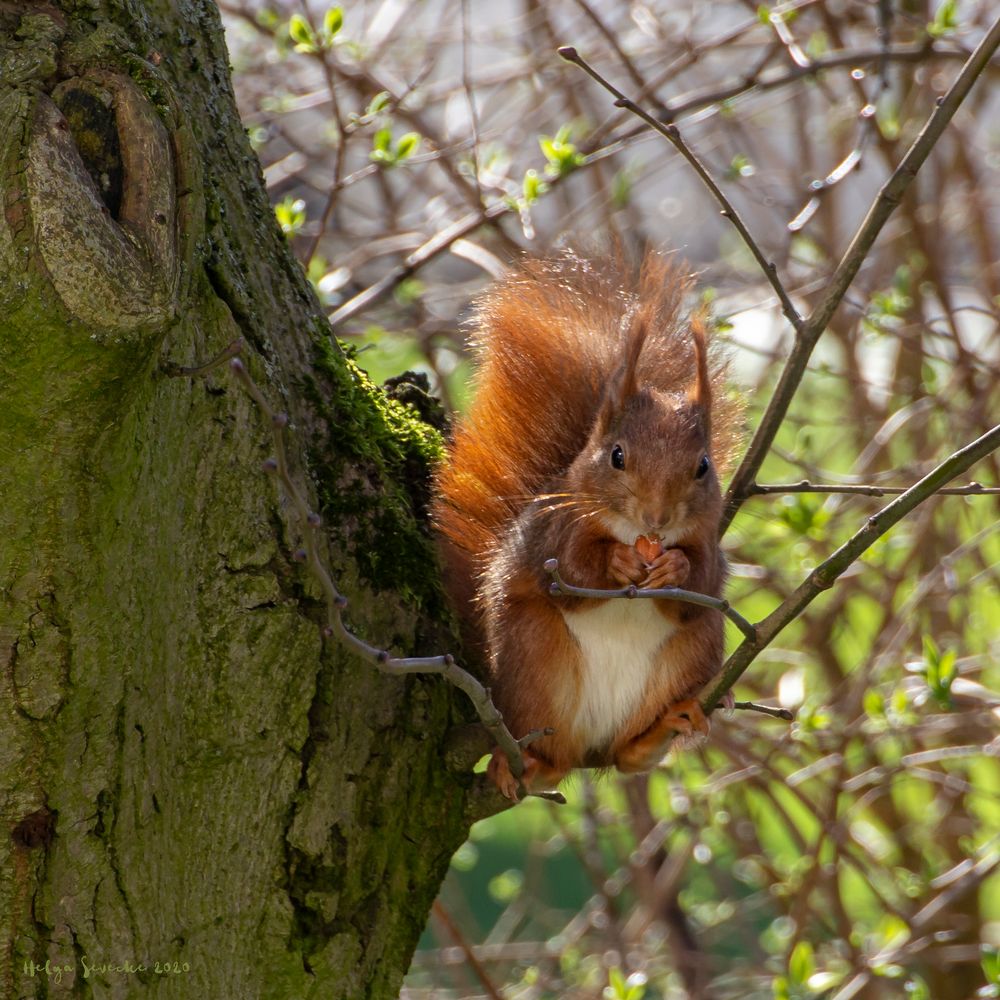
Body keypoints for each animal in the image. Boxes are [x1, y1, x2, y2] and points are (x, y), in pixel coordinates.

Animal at [434, 254, 740, 800]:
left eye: (703, 466)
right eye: (617, 455)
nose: (656, 519)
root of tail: (590, 748)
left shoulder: (710, 546)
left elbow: (703, 583)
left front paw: (676, 569)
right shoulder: (555, 533)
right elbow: (573, 573)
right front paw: (615, 561)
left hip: (694, 649)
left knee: (629, 759)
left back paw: (664, 729)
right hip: (535, 663)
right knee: (552, 755)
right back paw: (523, 765)